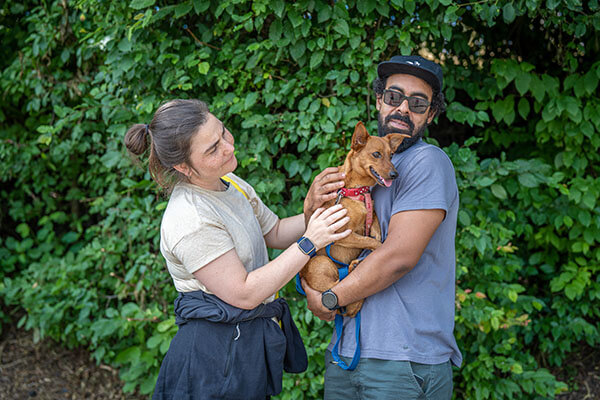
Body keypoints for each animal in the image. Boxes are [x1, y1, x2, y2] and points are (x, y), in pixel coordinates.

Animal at [300, 122, 410, 317]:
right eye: (376, 154)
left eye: (391, 155)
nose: (395, 174)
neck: (357, 191)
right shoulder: (342, 233)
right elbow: (370, 241)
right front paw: (378, 247)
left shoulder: (368, 215)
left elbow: (373, 223)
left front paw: (376, 232)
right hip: (321, 263)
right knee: (333, 289)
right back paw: (352, 268)